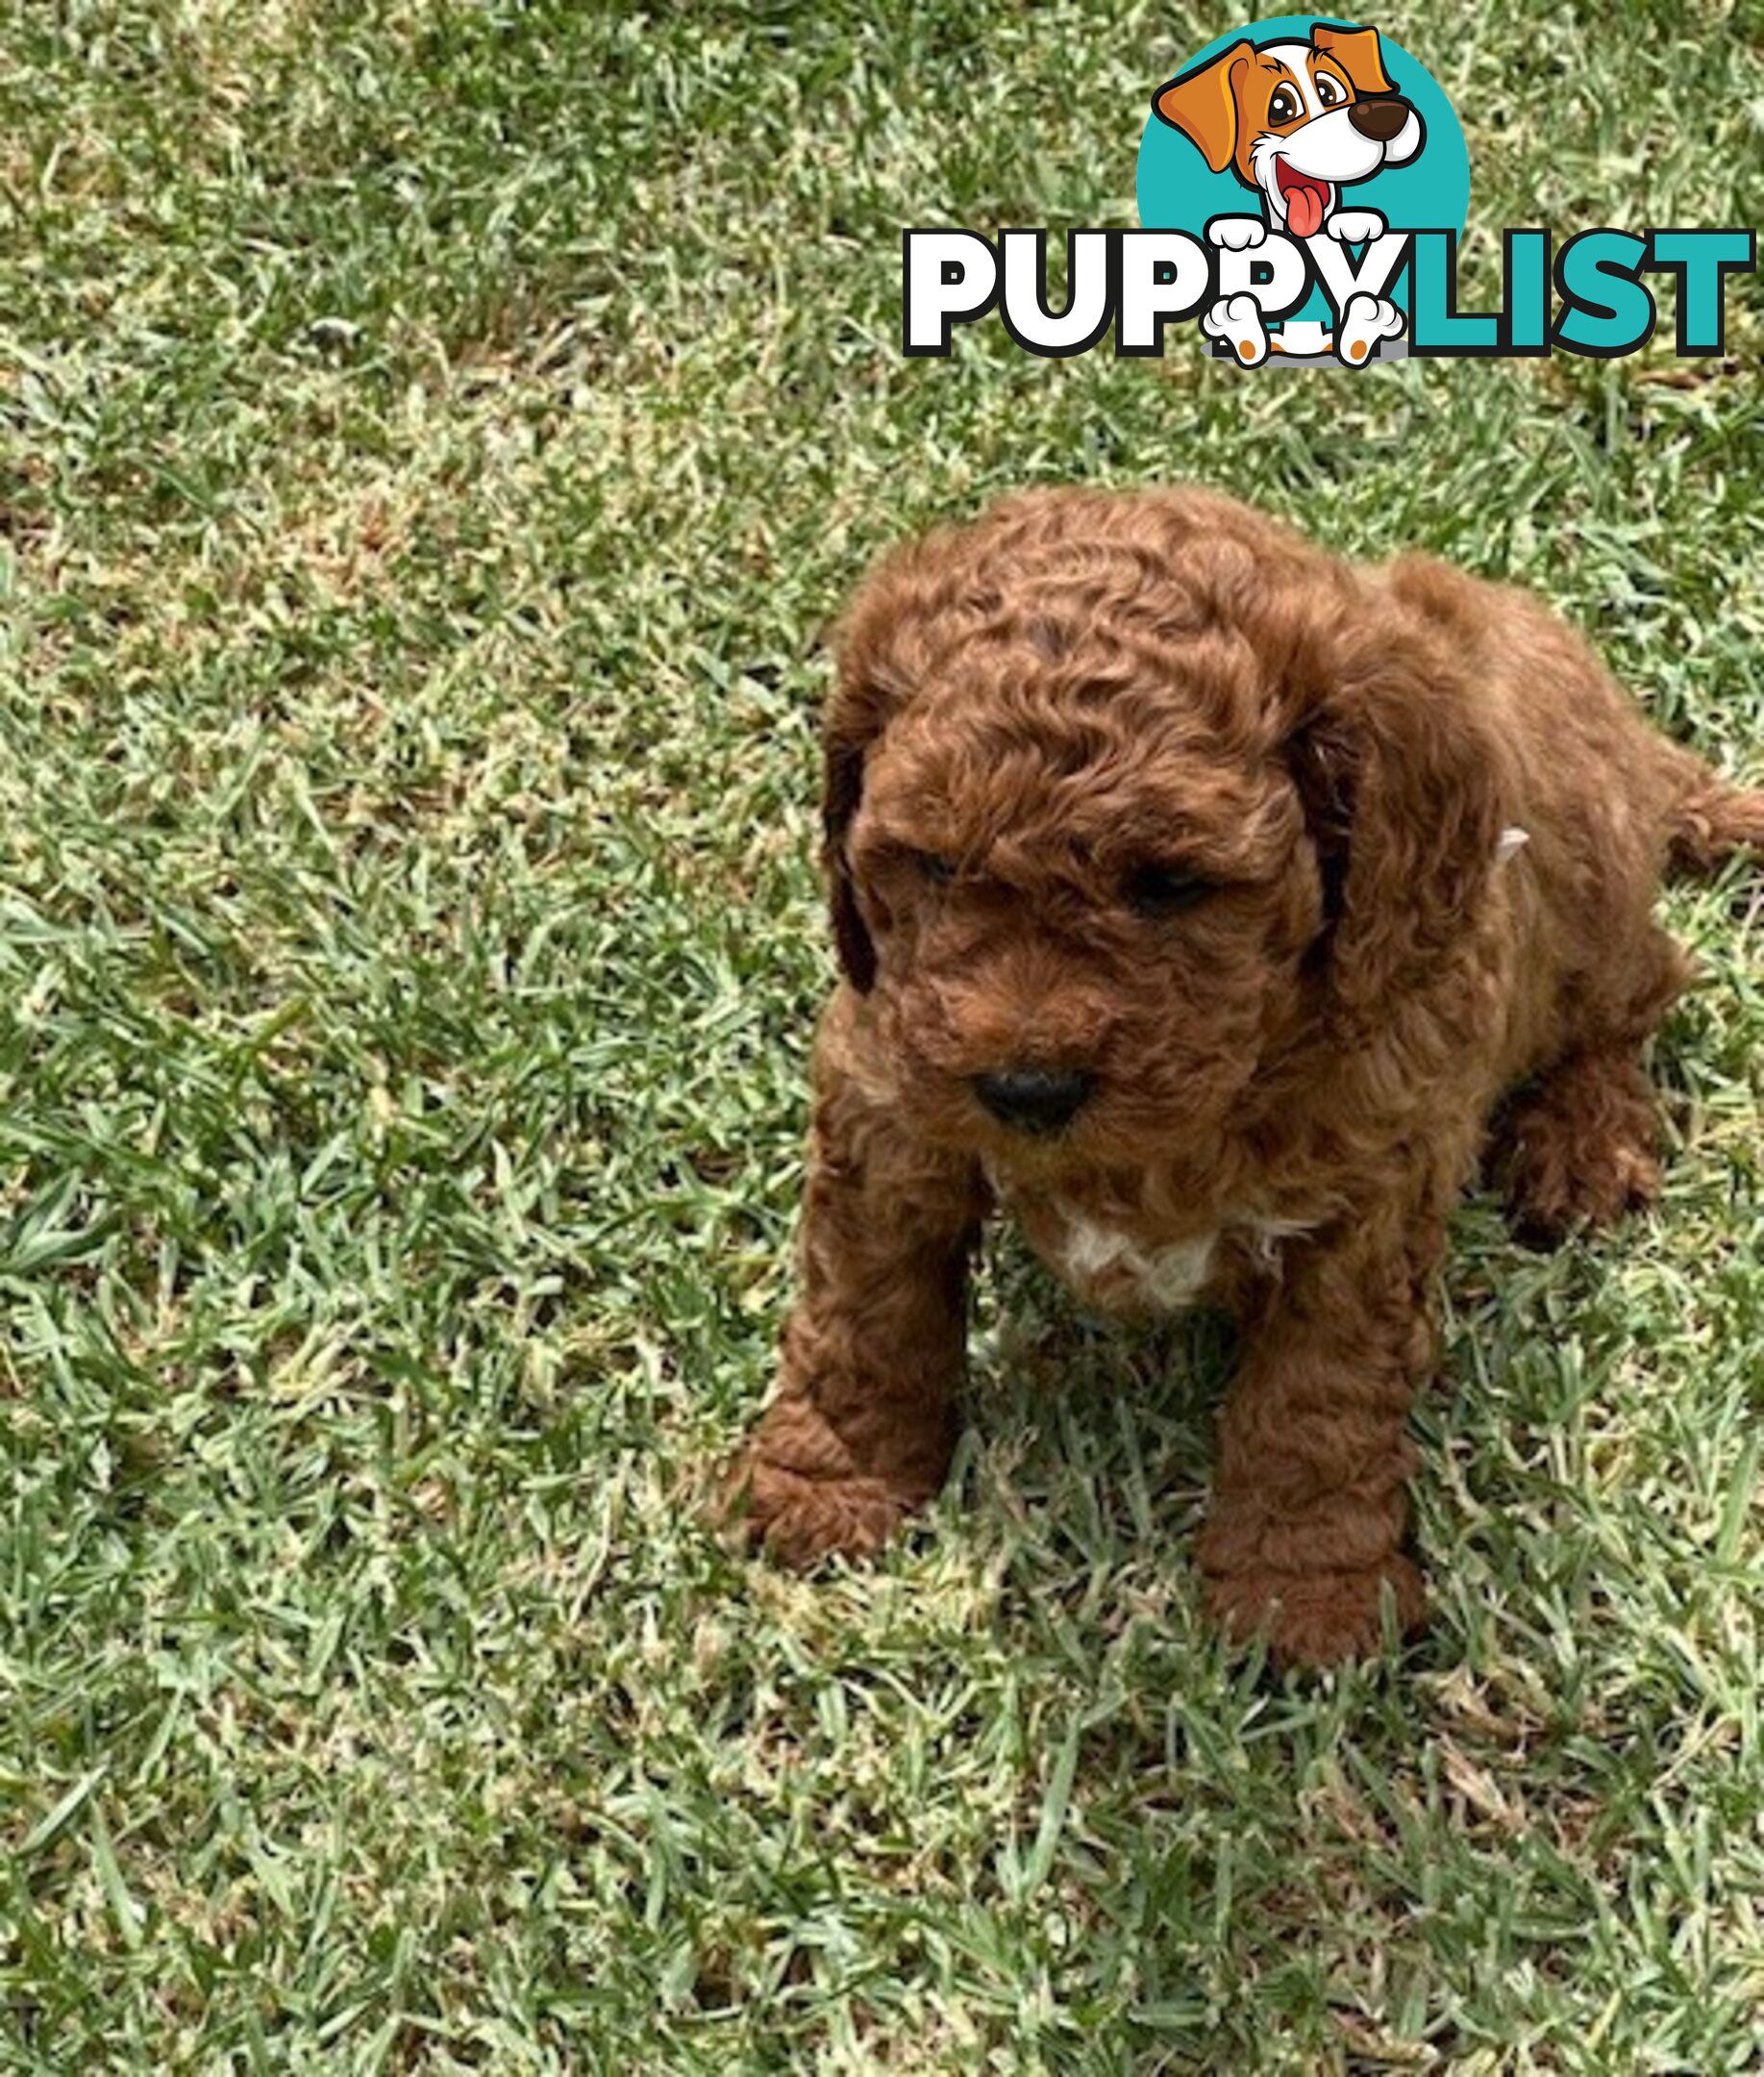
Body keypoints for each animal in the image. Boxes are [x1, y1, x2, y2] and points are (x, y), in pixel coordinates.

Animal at [722, 489, 1752, 1669]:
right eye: (933, 866)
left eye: (1173, 883)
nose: (1027, 1090)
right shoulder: (885, 1087)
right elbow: (864, 1302)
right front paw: (830, 1477)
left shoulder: (1372, 1189)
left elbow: (1315, 1397)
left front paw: (1301, 1596)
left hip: (1588, 879)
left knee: (1642, 987)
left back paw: (1582, 1142)